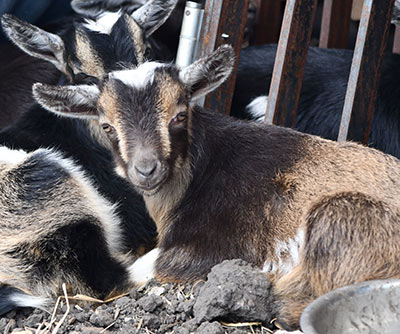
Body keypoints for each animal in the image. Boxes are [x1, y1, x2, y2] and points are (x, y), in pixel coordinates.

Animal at [32, 45, 400, 330]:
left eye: (179, 115)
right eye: (106, 125)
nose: (146, 170)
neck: (199, 172)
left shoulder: (217, 248)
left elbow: (134, 272)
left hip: (339, 215)